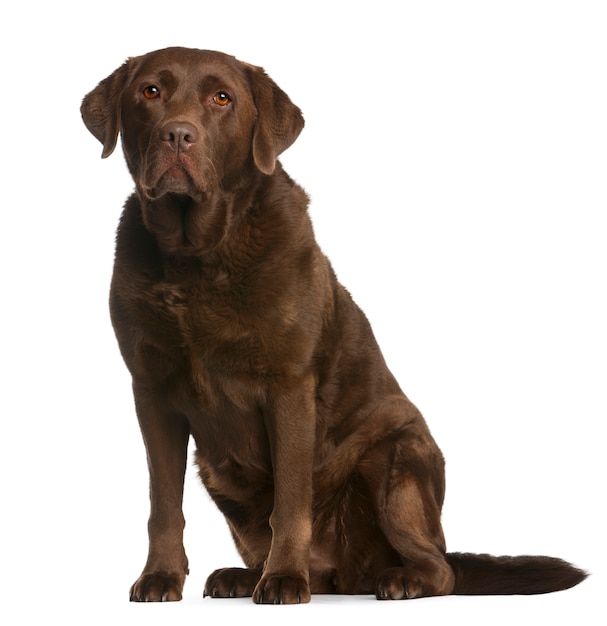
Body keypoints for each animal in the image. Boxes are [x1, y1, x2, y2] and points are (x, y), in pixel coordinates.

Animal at [82, 46, 588, 604]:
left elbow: (290, 500)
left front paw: (283, 578)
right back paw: (247, 576)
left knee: (442, 569)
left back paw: (397, 578)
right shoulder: (152, 392)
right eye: (150, 92)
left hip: (396, 458)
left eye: (222, 98)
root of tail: (349, 572)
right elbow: (163, 504)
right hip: (220, 473)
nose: (177, 134)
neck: (197, 257)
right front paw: (160, 576)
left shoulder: (289, 387)